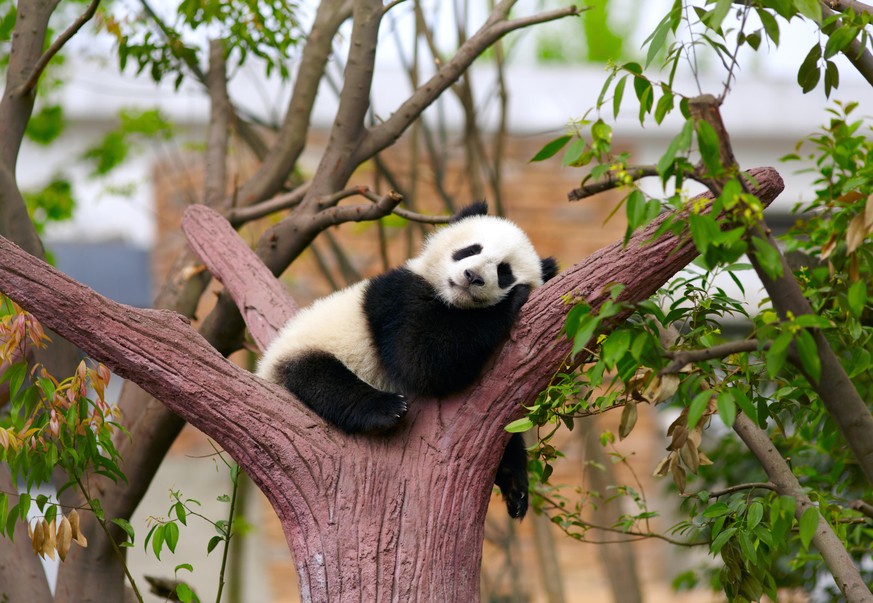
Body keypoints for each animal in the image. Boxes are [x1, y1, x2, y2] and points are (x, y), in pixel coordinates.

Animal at [258, 204, 560, 520]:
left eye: (504, 272)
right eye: (470, 250)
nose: (472, 275)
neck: (453, 301)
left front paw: (515, 484)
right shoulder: (398, 298)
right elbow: (421, 360)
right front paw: (513, 300)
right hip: (306, 349)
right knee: (322, 379)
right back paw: (386, 408)